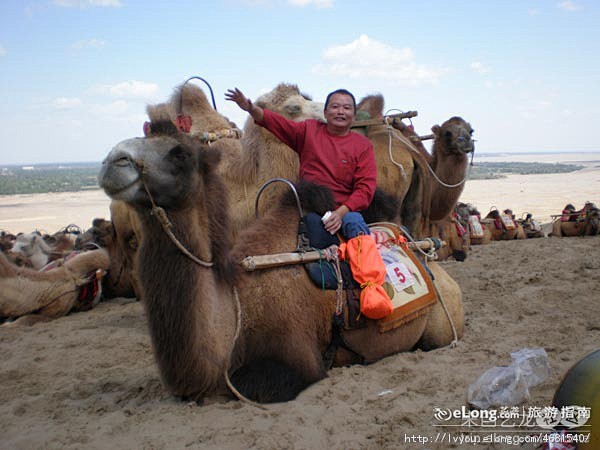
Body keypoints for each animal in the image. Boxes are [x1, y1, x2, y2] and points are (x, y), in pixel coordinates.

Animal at [98, 118, 464, 404]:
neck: (236, 307)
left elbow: (250, 384)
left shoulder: (297, 364)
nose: (113, 161)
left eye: (181, 153)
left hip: (443, 324)